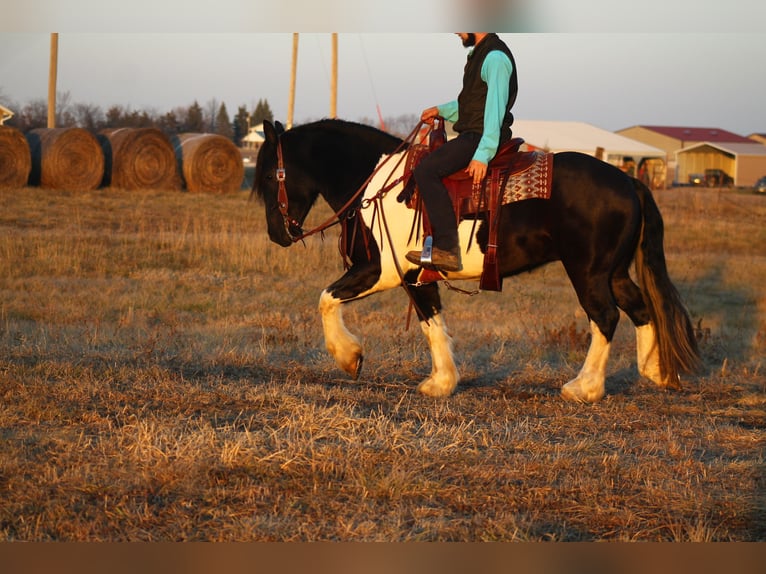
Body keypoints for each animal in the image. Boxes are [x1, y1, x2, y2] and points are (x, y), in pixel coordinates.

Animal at [254, 119, 704, 402]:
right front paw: (441, 382)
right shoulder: (417, 275)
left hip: (588, 272)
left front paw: (349, 357)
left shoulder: (381, 270)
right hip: (613, 271)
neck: (379, 182)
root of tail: (629, 180)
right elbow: (432, 323)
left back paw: (584, 388)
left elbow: (326, 299)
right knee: (640, 307)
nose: (278, 234)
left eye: (270, 176)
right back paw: (654, 371)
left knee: (606, 317)